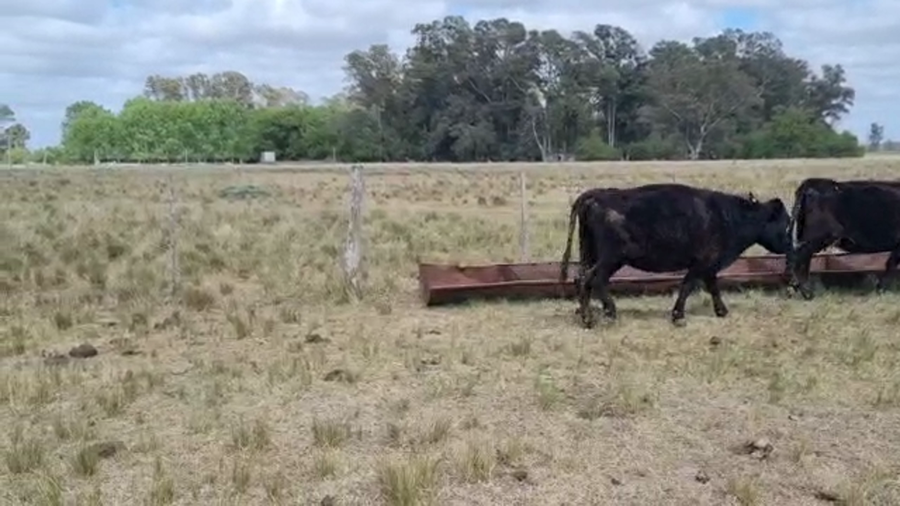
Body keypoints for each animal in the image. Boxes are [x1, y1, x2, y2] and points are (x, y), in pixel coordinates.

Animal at [559, 183, 792, 328]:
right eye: (787, 223)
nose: (791, 244)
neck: (728, 215)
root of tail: (598, 195)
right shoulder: (702, 263)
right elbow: (688, 286)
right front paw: (678, 317)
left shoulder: (709, 266)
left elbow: (712, 287)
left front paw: (722, 311)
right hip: (611, 258)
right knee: (593, 279)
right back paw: (601, 315)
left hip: (591, 254)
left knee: (581, 278)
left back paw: (585, 314)